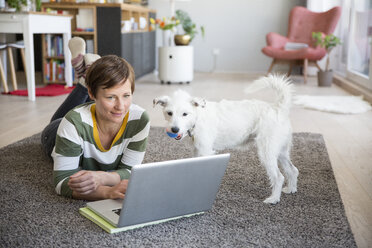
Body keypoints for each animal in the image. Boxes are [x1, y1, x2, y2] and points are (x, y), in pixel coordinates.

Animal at [153, 74, 300, 204]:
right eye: (169, 113)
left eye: (185, 114)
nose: (174, 129)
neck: (198, 117)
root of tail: (279, 108)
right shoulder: (197, 151)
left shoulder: (205, 151)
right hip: (281, 152)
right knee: (293, 170)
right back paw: (291, 189)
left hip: (267, 152)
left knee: (279, 177)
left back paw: (274, 199)